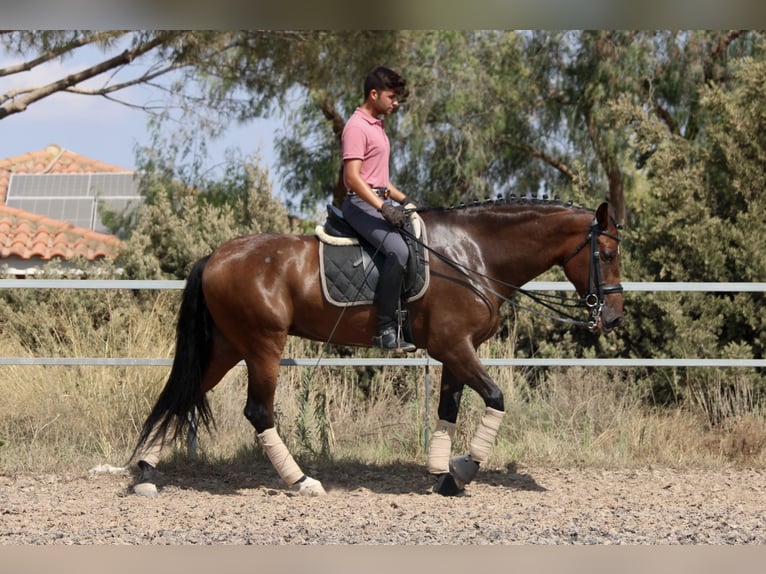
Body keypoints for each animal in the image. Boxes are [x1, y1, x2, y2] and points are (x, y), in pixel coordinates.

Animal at [132, 198, 624, 500]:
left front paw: (442, 476)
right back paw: (302, 480)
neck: (473, 255)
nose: (615, 316)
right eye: (607, 254)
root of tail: (215, 256)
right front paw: (463, 470)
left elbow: (447, 410)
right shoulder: (455, 346)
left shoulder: (453, 352)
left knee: (183, 394)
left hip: (229, 345)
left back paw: (144, 473)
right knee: (257, 411)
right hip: (262, 345)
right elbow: (496, 399)